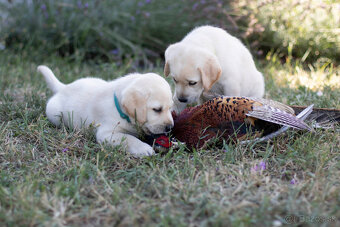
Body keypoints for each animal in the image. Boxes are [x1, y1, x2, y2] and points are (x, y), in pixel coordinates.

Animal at [38, 65, 174, 156]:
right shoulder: (107, 133)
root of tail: (64, 87)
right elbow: (129, 139)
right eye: (157, 109)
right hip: (54, 114)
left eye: (170, 108)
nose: (170, 127)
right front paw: (143, 149)